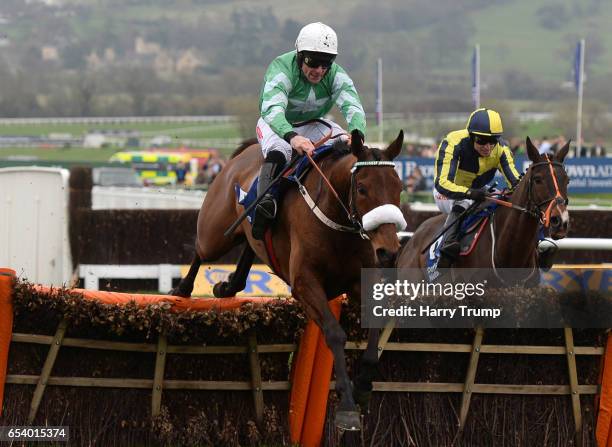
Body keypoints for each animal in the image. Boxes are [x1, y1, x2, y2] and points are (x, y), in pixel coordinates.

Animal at [170, 129, 406, 430]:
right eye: (362, 188)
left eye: (399, 188)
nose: (388, 251)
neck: (336, 222)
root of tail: (243, 154)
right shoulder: (305, 284)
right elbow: (334, 334)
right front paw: (347, 406)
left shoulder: (360, 281)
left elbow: (374, 327)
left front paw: (363, 386)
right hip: (215, 233)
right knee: (200, 250)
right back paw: (183, 288)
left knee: (251, 243)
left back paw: (230, 285)